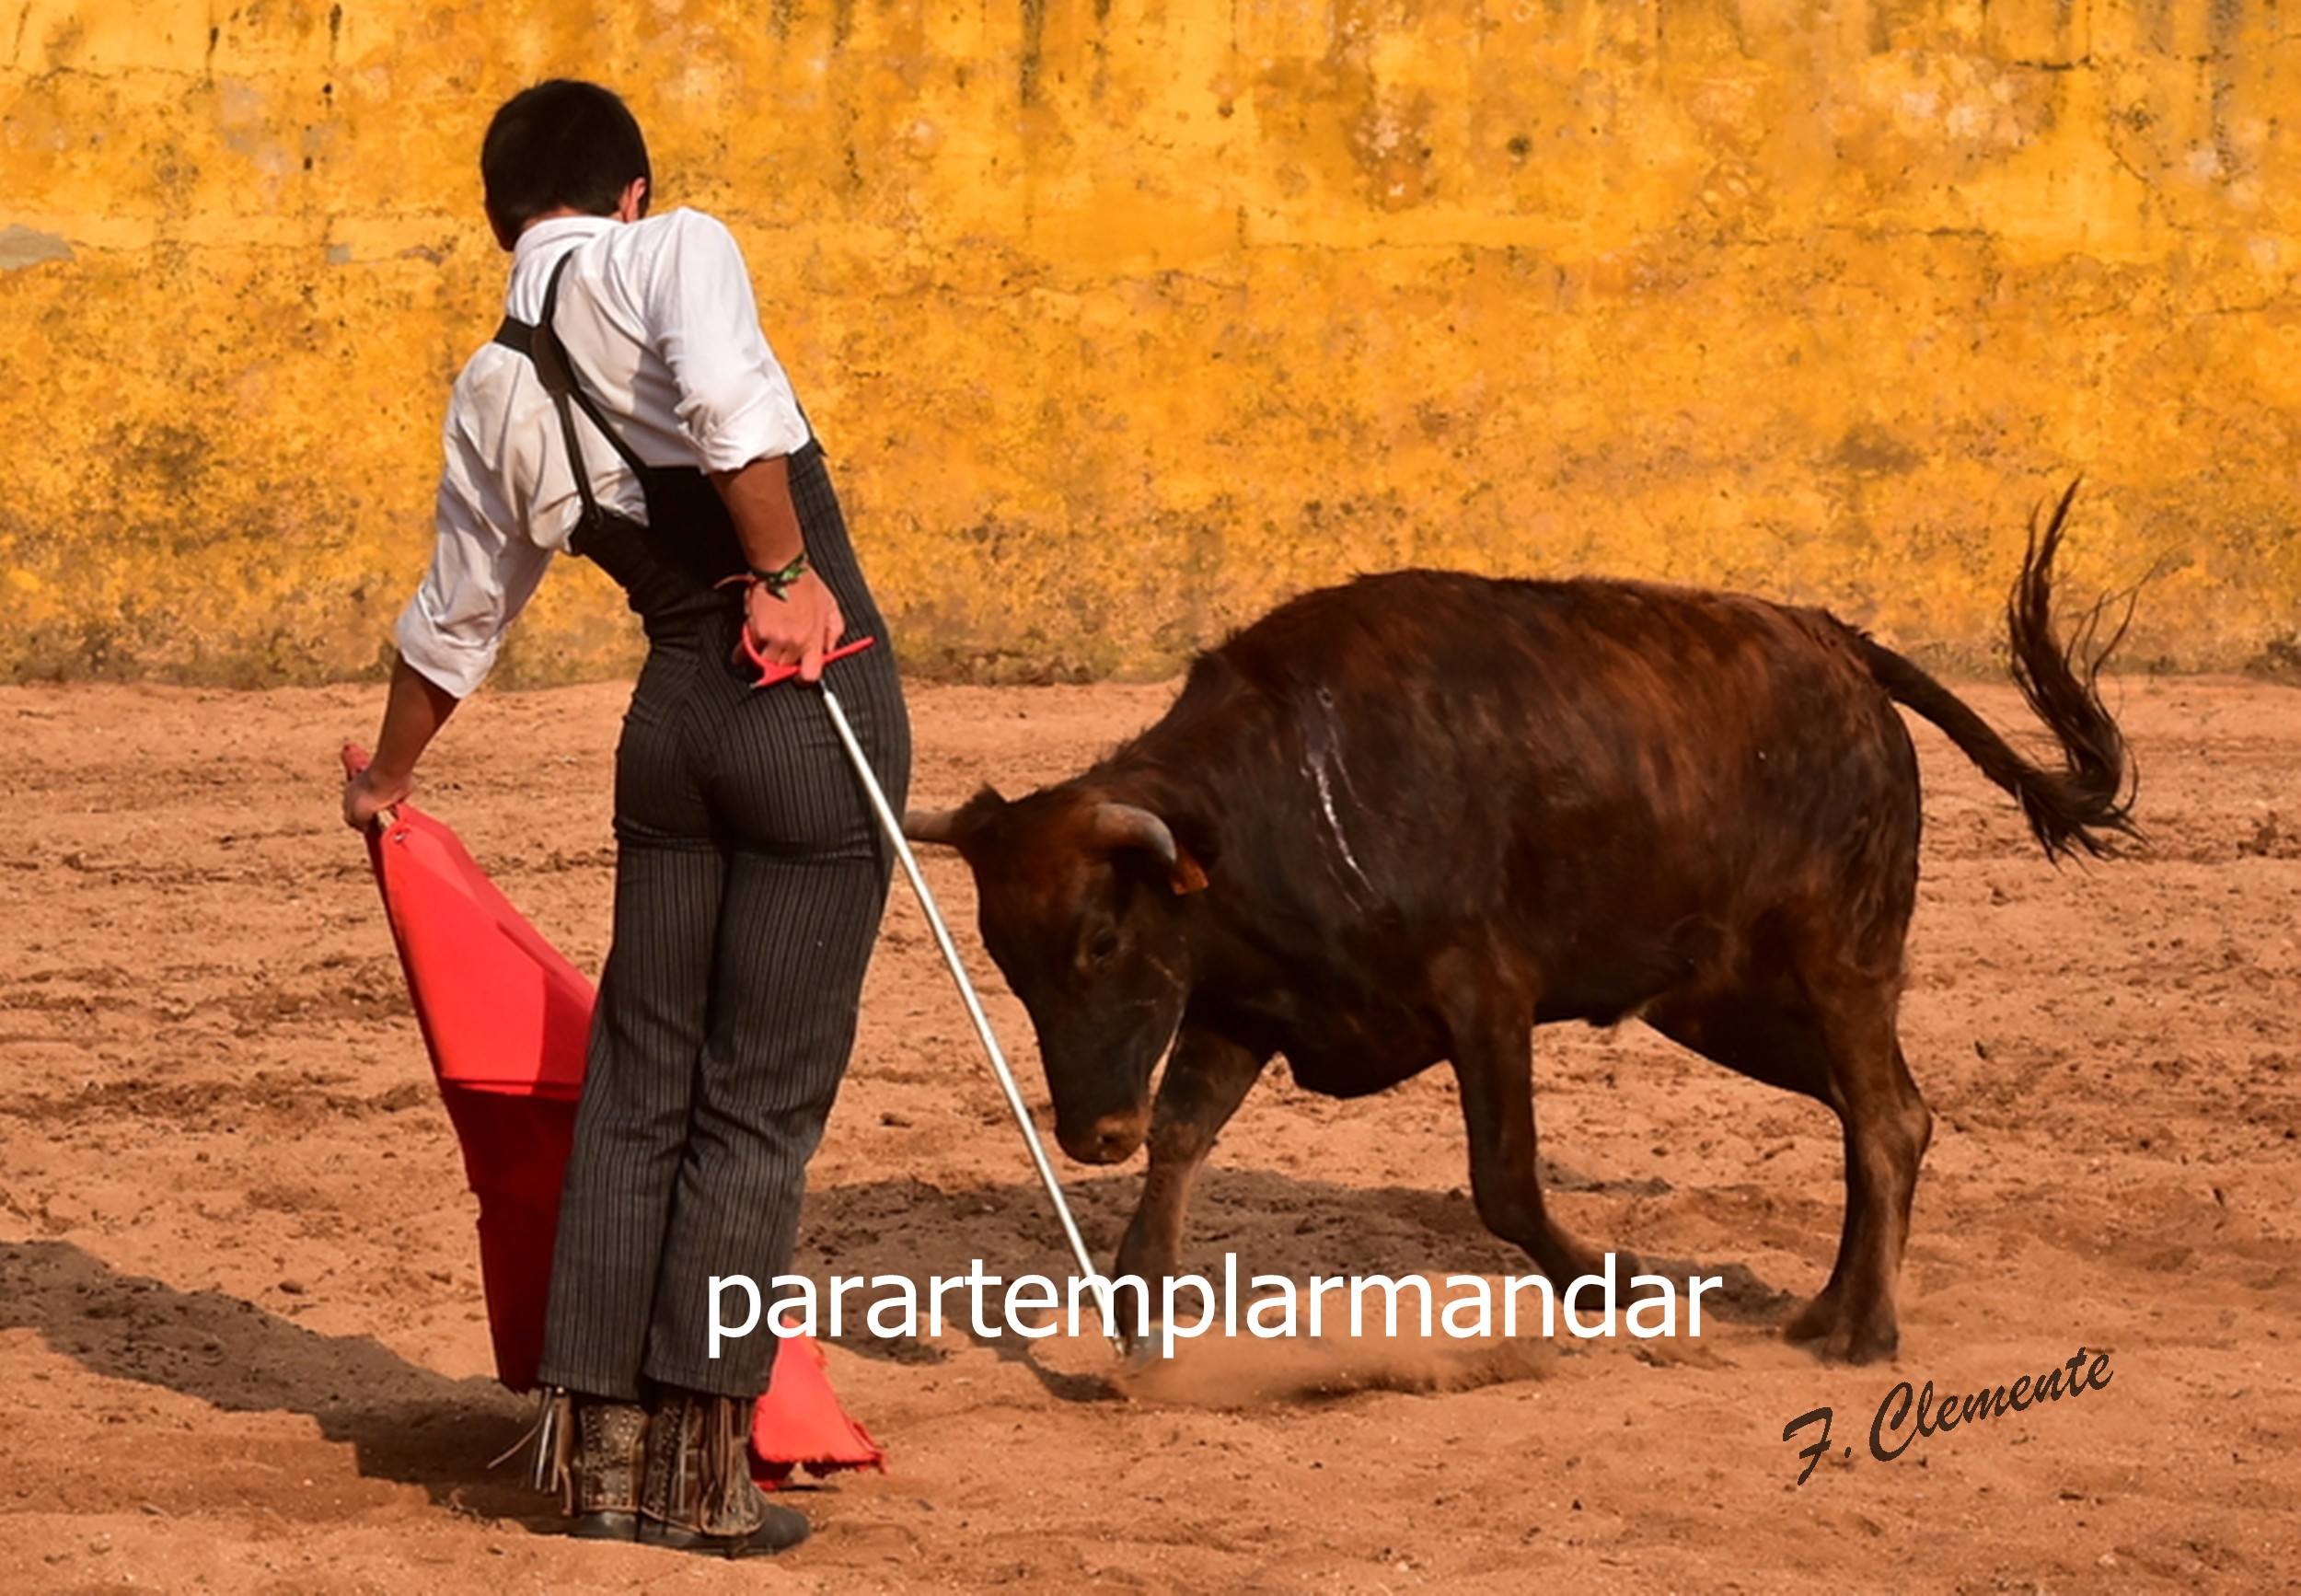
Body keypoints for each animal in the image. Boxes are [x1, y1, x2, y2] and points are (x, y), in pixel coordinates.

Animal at [907, 494, 2126, 1370]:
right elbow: (1181, 1138)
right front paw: (1141, 1308)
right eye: (1008, 969)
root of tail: (1835, 643)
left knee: (1883, 1116)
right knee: (1875, 1112)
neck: (1279, 795)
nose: (1087, 1135)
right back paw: (1824, 1308)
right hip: (1723, 1000)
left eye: (1100, 942)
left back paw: (1865, 1333)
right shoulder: (1241, 1004)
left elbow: (1504, 1181)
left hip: (1840, 956)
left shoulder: (1483, 994)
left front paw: (1623, 1285)